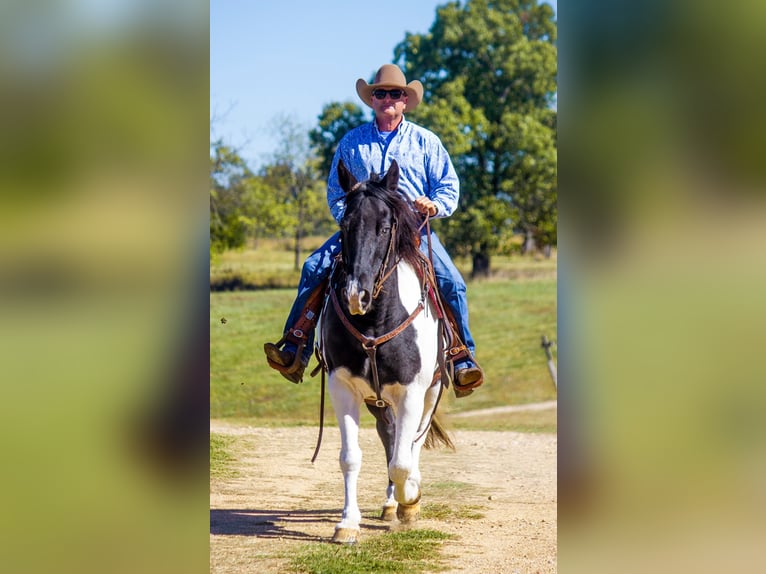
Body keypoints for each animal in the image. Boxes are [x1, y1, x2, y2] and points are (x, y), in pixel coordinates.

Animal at [320, 161, 456, 544]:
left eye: (384, 228)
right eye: (344, 226)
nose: (356, 295)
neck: (375, 321)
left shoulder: (412, 391)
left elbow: (402, 461)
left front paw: (412, 499)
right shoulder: (342, 387)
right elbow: (350, 457)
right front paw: (347, 523)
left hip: (430, 392)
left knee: (412, 443)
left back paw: (405, 498)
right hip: (377, 400)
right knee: (390, 436)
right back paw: (391, 502)